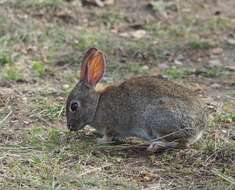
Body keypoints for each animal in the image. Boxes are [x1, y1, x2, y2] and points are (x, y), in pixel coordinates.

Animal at [66, 48, 207, 152]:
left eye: (74, 106)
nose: (70, 127)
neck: (96, 104)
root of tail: (199, 127)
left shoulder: (112, 125)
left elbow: (109, 136)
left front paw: (100, 141)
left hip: (158, 119)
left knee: (180, 143)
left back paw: (155, 145)